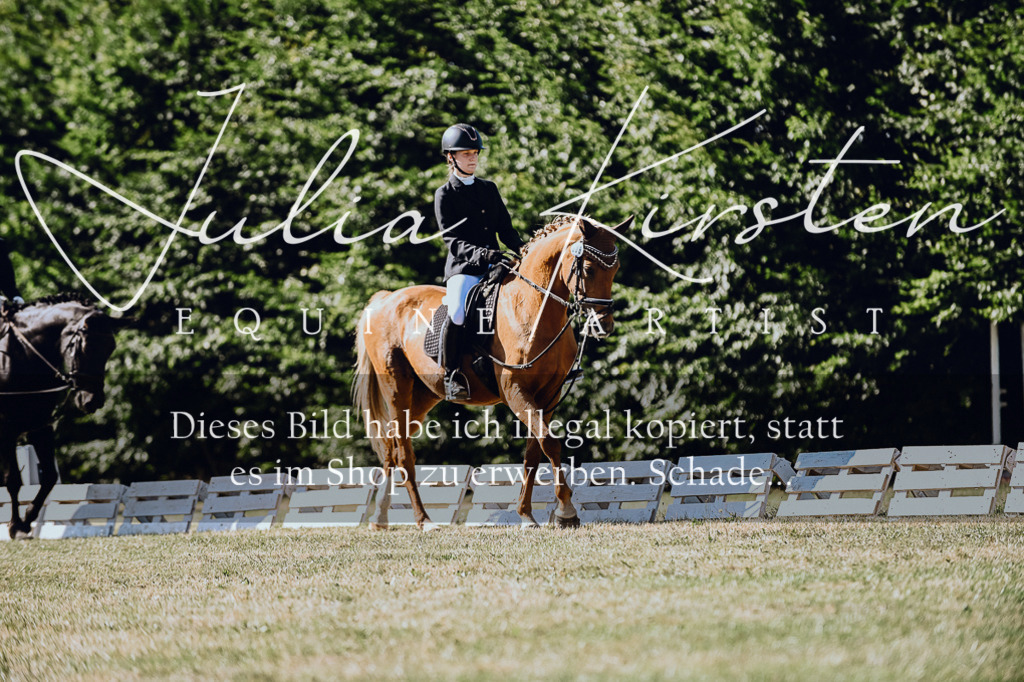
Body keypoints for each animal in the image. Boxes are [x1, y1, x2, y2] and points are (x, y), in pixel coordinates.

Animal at [0, 296, 126, 539]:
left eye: (111, 348)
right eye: (85, 347)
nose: (92, 401)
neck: (23, 356)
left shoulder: (40, 426)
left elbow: (49, 477)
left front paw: (27, 519)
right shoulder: (7, 430)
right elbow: (13, 480)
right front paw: (15, 526)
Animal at [353, 214, 631, 530]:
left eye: (615, 269)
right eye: (587, 268)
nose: (603, 326)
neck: (533, 309)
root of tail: (385, 299)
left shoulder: (549, 395)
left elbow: (534, 451)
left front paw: (527, 515)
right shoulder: (515, 391)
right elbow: (550, 442)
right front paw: (567, 511)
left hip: (424, 396)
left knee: (391, 446)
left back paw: (380, 518)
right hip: (397, 388)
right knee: (402, 452)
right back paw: (423, 519)